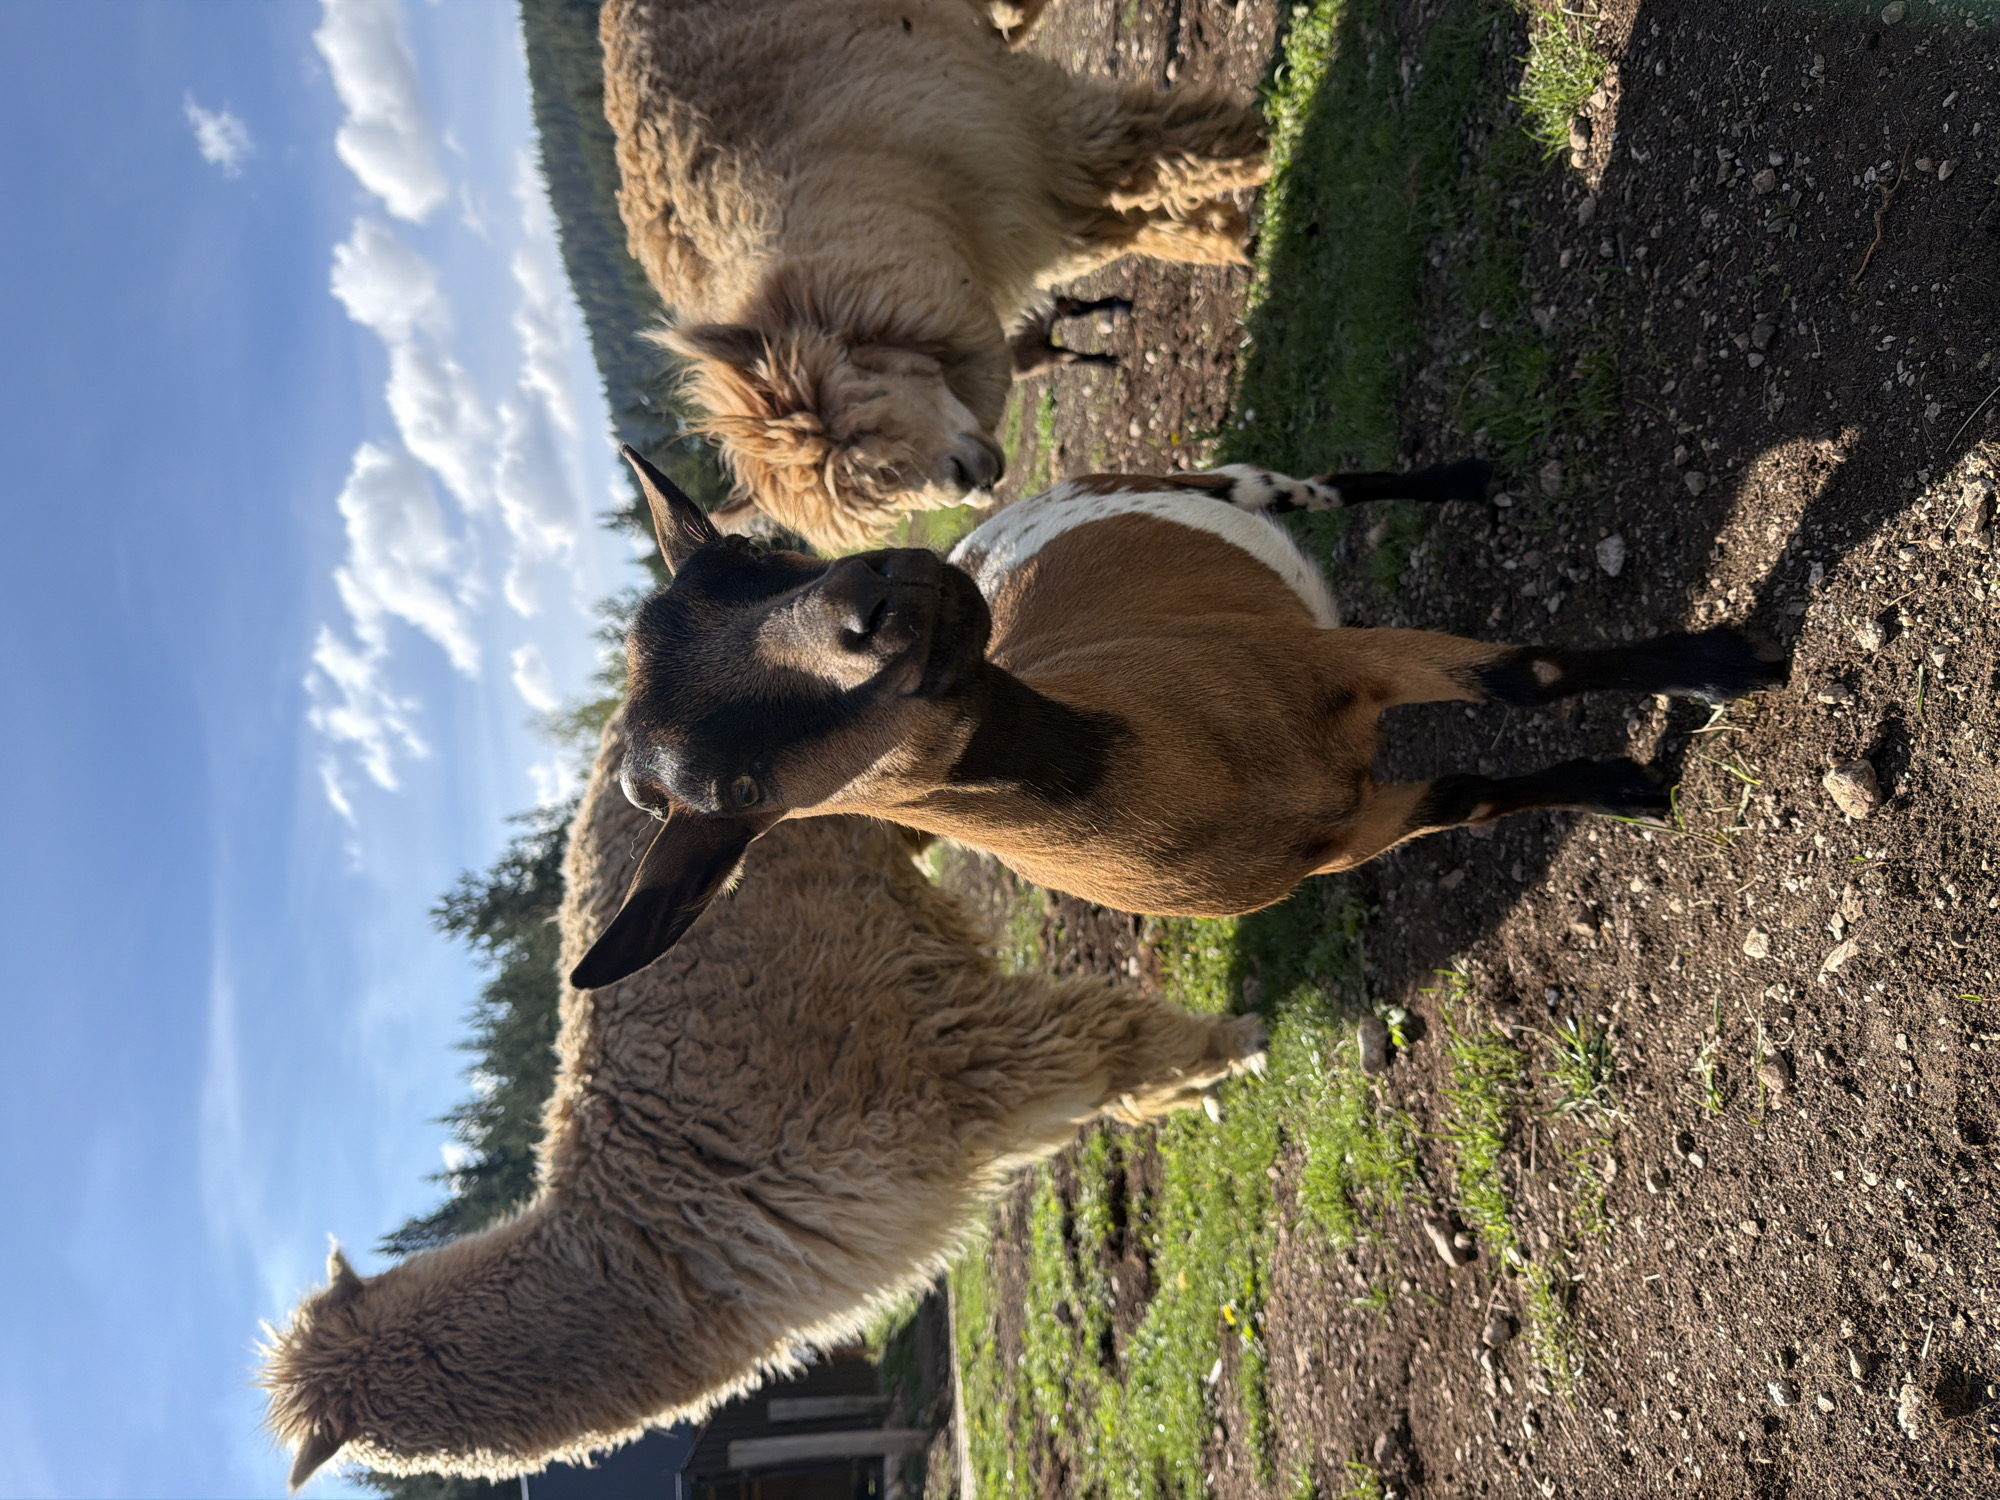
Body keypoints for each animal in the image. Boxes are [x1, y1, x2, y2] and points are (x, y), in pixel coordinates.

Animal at [264, 713, 1263, 1489]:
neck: (656, 1227)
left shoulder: (933, 1058)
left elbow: (1112, 1040)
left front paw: (1236, 1046)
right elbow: (1112, 1079)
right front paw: (1199, 1088)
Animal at [569, 448, 1787, 988]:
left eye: (753, 551)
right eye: (733, 791)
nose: (877, 598)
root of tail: (986, 533)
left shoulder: (1334, 658)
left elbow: (1522, 676)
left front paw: (1720, 663)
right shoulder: (1357, 830)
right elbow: (1478, 795)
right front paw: (1627, 787)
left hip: (1205, 483)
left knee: (1312, 487)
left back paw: (1462, 478)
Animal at [602, 0, 1267, 552]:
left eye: (869, 415)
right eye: (889, 497)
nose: (968, 480)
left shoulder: (1019, 131)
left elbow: (1163, 149)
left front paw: (1264, 154)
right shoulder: (1017, 214)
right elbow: (1134, 220)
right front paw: (1227, 236)